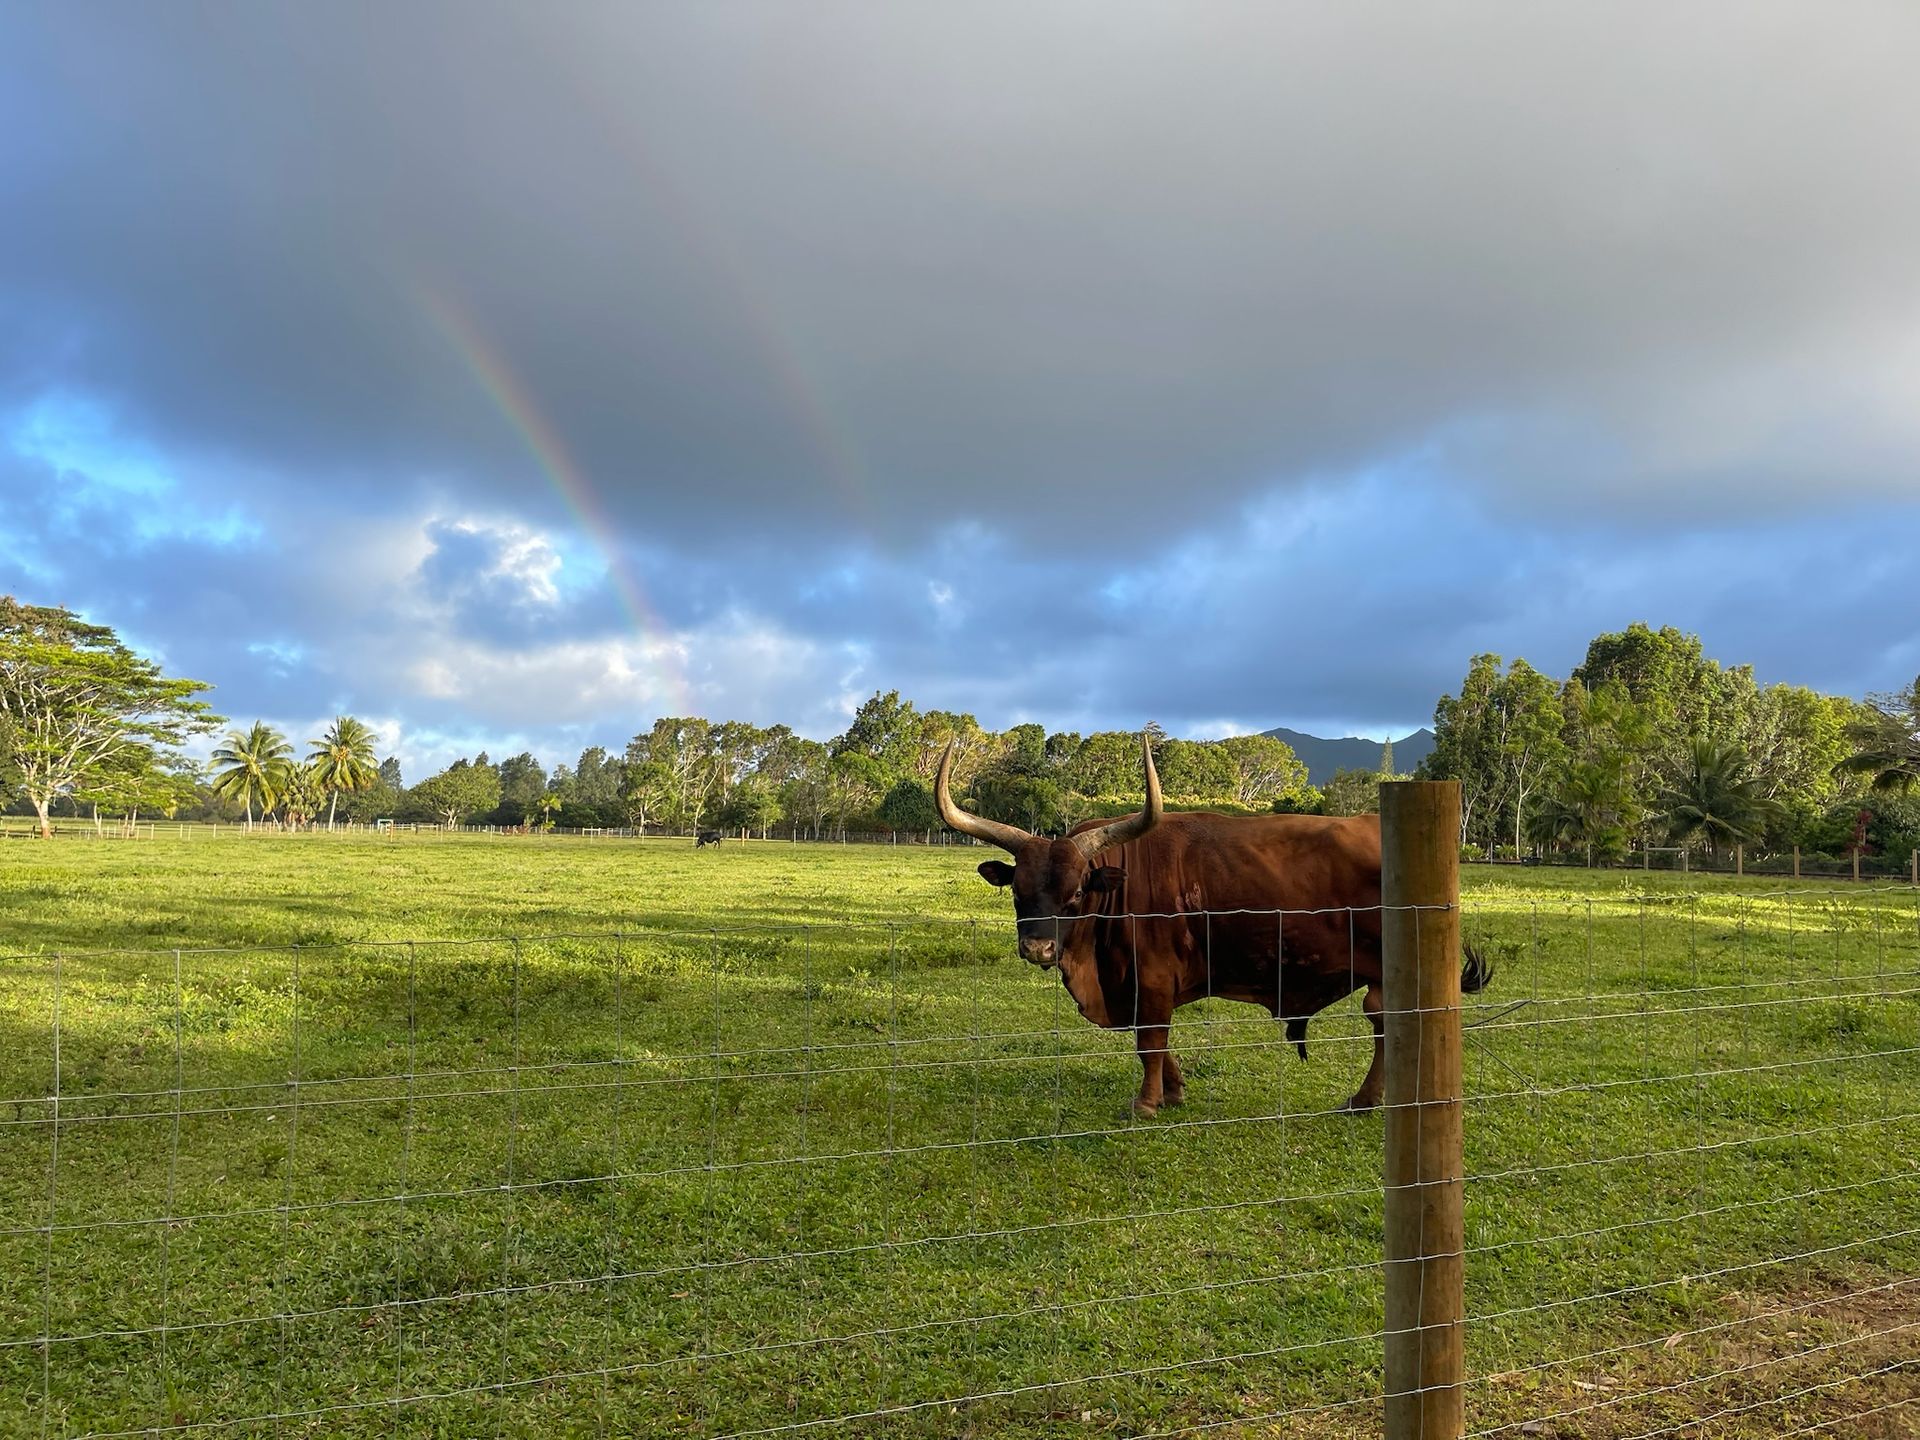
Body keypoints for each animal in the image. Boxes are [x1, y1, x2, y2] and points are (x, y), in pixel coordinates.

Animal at [936, 735, 1490, 1117]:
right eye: (1018, 891)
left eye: (1075, 895)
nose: (1038, 949)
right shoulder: (1135, 984)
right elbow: (1152, 1040)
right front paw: (1174, 1090)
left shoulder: (1152, 976)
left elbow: (1150, 1039)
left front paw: (1146, 1102)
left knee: (1387, 1024)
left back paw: (1368, 1100)